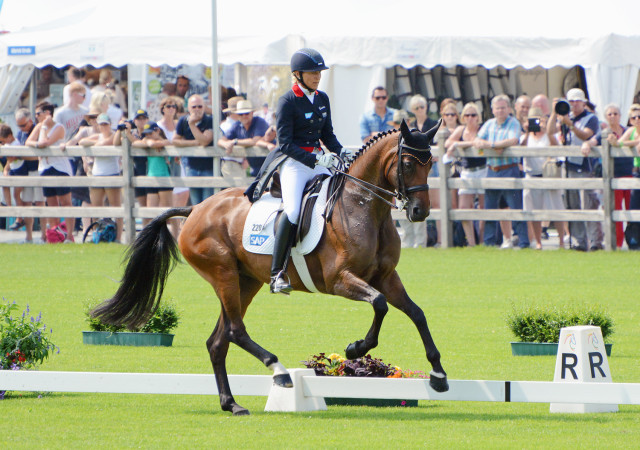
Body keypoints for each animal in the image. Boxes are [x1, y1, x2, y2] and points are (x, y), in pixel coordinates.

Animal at [91, 118, 450, 414]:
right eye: (407, 162)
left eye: (431, 162)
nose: (420, 212)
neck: (362, 206)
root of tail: (196, 209)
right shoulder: (339, 280)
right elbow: (379, 305)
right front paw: (354, 349)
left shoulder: (386, 277)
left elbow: (416, 313)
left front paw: (438, 374)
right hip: (223, 274)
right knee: (235, 331)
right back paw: (279, 372)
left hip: (245, 281)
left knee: (218, 341)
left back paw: (232, 404)